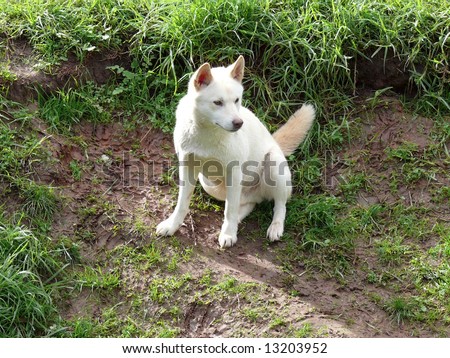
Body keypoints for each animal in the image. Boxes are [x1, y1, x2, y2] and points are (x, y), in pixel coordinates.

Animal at [156, 56, 314, 248]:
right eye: (218, 102)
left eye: (237, 100)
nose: (239, 123)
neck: (207, 133)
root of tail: (275, 142)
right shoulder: (187, 167)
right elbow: (182, 204)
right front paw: (172, 225)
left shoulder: (234, 172)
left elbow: (229, 210)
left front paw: (228, 234)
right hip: (209, 184)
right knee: (249, 203)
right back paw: (238, 219)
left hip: (274, 167)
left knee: (280, 205)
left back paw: (274, 227)